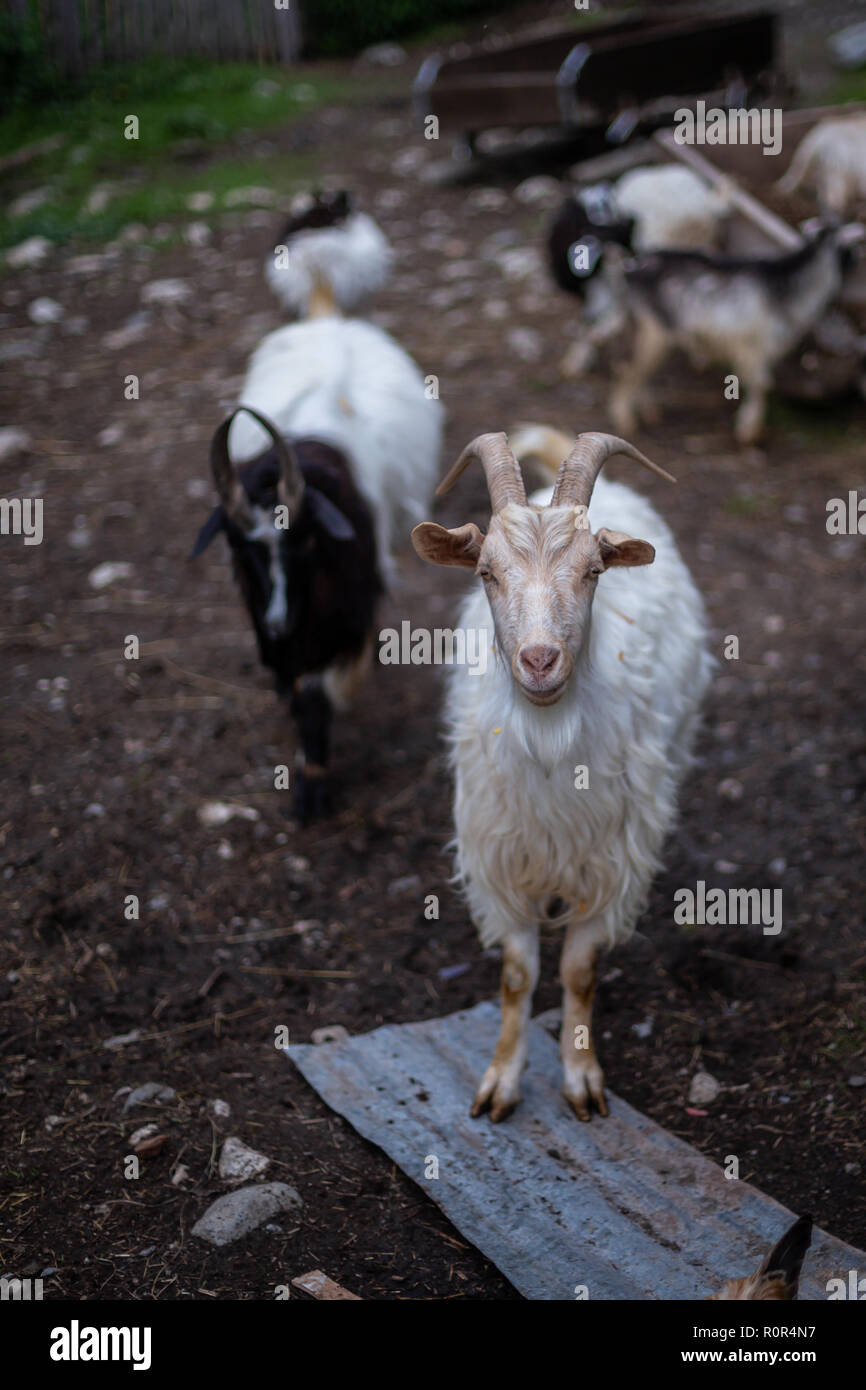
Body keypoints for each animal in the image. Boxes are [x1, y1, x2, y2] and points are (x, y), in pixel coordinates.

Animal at [194, 191, 444, 817]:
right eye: (239, 546)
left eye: (305, 539)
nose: (280, 621)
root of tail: (325, 313)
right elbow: (296, 688)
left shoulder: (351, 609)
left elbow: (324, 692)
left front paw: (313, 785)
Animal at [414, 425, 711, 1128]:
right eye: (487, 571)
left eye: (593, 571)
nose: (540, 660)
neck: (550, 743)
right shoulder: (500, 859)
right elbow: (519, 975)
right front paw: (502, 1079)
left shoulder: (611, 861)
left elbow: (578, 971)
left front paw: (581, 1078)